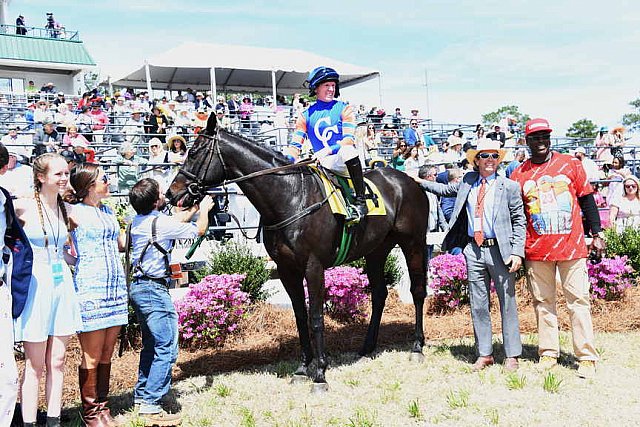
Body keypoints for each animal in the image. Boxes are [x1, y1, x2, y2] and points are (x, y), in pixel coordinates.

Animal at [168, 114, 430, 392]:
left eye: (194, 152)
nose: (172, 193)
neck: (291, 197)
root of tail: (408, 180)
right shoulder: (286, 269)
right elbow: (300, 318)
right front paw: (303, 368)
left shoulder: (313, 267)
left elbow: (315, 317)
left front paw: (320, 373)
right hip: (376, 251)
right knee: (379, 294)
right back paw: (367, 347)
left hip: (413, 243)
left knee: (417, 291)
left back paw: (417, 346)